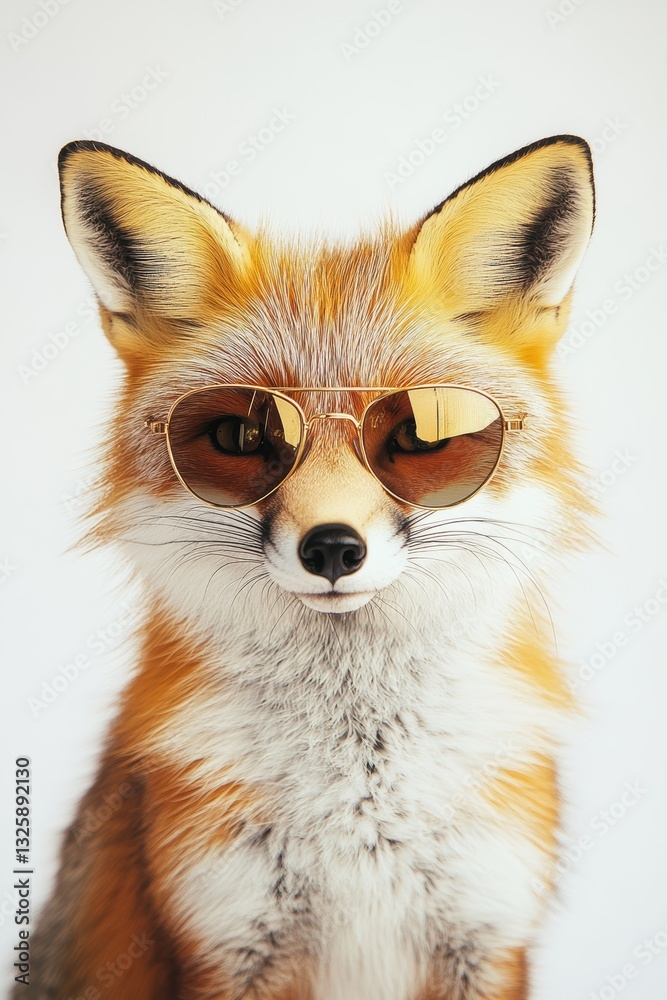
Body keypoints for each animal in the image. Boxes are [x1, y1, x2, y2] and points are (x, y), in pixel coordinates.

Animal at [20, 134, 595, 1000]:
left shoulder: (489, 933)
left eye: (421, 435)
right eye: (239, 436)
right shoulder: (223, 938)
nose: (331, 548)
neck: (359, 795)